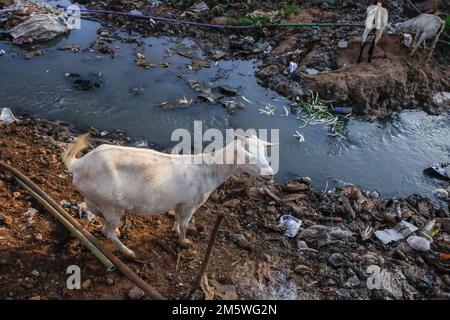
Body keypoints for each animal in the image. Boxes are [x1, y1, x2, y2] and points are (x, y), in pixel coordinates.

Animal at [62, 134, 274, 258]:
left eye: (264, 151)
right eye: (248, 156)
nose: (271, 173)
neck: (209, 170)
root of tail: (79, 164)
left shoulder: (180, 203)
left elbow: (177, 218)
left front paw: (174, 230)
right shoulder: (190, 204)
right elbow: (185, 224)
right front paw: (184, 242)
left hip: (95, 197)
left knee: (94, 213)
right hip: (112, 204)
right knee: (107, 230)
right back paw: (128, 252)